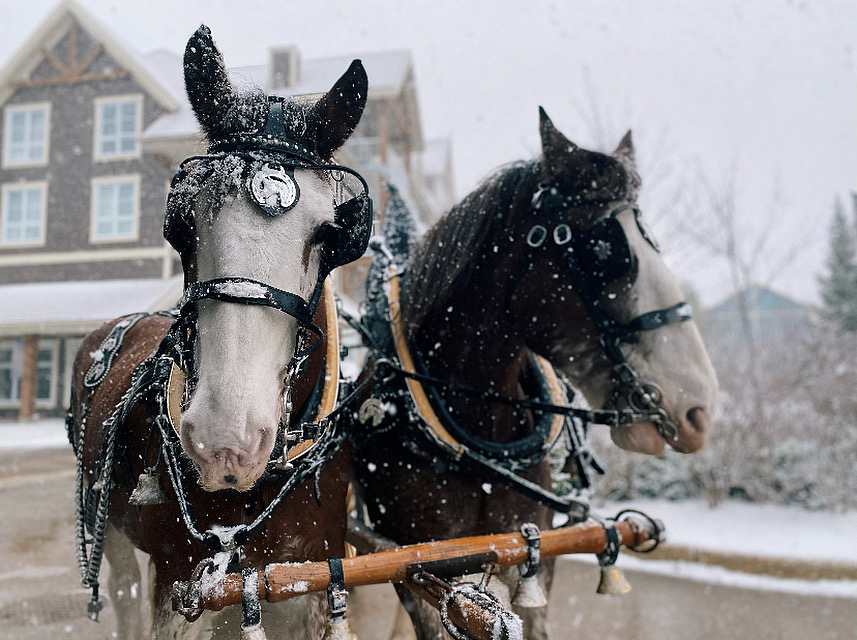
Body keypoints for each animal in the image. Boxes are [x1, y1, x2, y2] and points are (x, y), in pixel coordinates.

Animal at [66, 26, 370, 640]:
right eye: (179, 220)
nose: (226, 439)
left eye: (333, 234)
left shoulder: (312, 577)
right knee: (122, 588)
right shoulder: (178, 582)